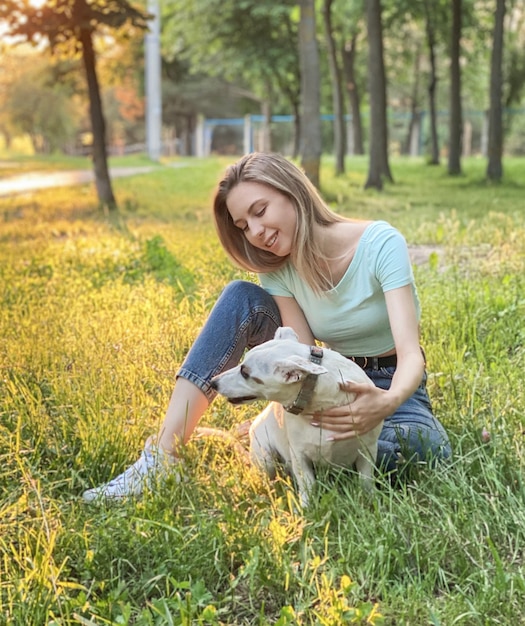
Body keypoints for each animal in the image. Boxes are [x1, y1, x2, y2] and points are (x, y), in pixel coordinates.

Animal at [211, 326, 382, 508]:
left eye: (245, 372)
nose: (214, 382)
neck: (321, 405)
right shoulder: (300, 455)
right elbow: (307, 485)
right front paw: (306, 510)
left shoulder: (368, 450)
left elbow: (366, 481)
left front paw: (372, 502)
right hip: (265, 458)